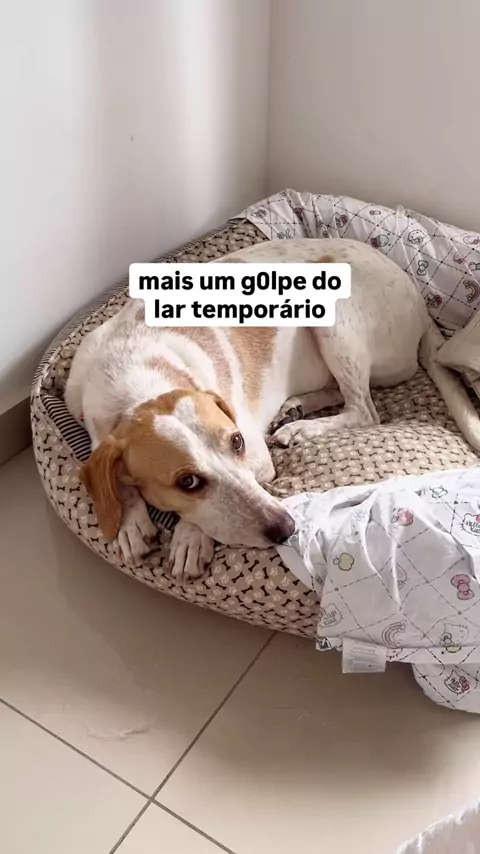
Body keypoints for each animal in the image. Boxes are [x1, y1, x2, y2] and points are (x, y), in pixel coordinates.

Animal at [65, 238, 480, 582]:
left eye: (236, 443)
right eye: (188, 482)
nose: (286, 528)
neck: (140, 379)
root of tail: (421, 308)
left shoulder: (256, 457)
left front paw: (189, 537)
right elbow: (110, 475)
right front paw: (129, 519)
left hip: (335, 316)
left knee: (364, 409)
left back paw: (304, 427)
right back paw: (295, 410)